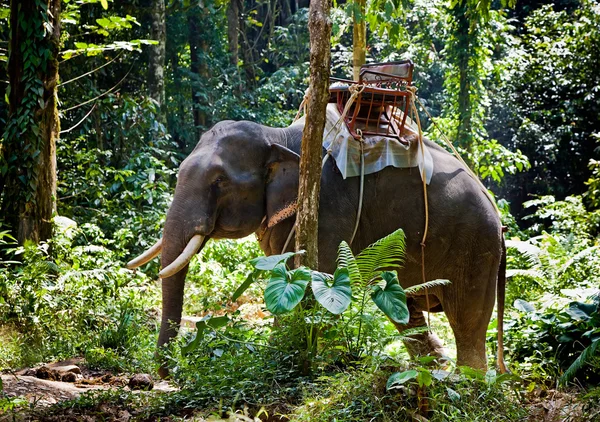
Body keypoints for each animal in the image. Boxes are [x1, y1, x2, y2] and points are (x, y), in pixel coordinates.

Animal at [127, 117, 506, 378]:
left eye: (219, 181)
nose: (169, 371)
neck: (276, 135)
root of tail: (497, 213)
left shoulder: (327, 206)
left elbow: (310, 281)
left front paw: (273, 361)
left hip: (475, 246)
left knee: (468, 319)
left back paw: (467, 380)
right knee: (404, 306)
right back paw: (435, 369)